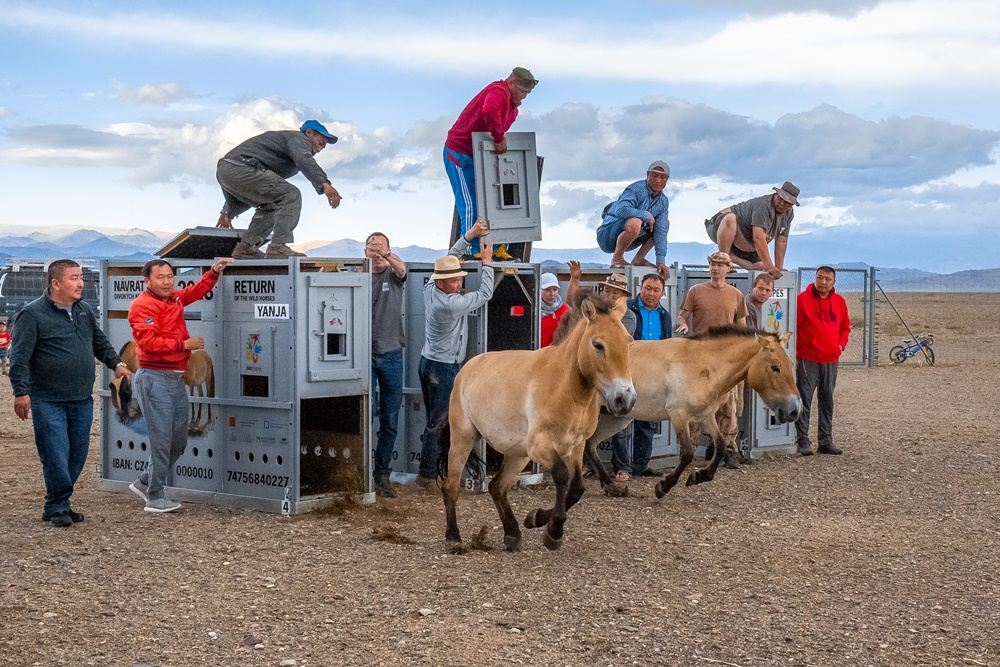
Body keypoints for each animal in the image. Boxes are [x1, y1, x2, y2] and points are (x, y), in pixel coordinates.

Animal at [442, 298, 636, 552]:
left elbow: (577, 488)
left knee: (497, 486)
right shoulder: (541, 446)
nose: (625, 400)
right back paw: (454, 538)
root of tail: (468, 368)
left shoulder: (575, 446)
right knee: (451, 487)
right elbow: (562, 476)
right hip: (463, 438)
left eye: (629, 342)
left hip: (518, 453)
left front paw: (536, 519)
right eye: (598, 345)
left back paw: (512, 534)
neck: (565, 387)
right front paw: (553, 532)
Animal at [584, 326, 800, 498]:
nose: (794, 410)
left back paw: (611, 486)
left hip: (616, 418)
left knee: (590, 444)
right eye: (775, 367)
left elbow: (721, 446)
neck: (705, 365)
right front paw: (664, 486)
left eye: (790, 365)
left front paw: (699, 476)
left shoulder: (706, 416)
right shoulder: (679, 416)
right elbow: (687, 453)